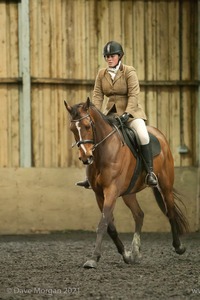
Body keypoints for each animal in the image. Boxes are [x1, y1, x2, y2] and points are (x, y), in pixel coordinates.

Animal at [64, 97, 189, 268]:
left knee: (169, 211)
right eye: (72, 129)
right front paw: (126, 255)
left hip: (166, 185)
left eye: (88, 126)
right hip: (129, 192)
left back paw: (178, 247)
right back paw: (135, 251)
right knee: (139, 214)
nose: (85, 158)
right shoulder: (99, 194)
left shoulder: (111, 190)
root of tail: (159, 134)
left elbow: (103, 224)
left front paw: (93, 258)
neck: (102, 153)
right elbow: (110, 226)